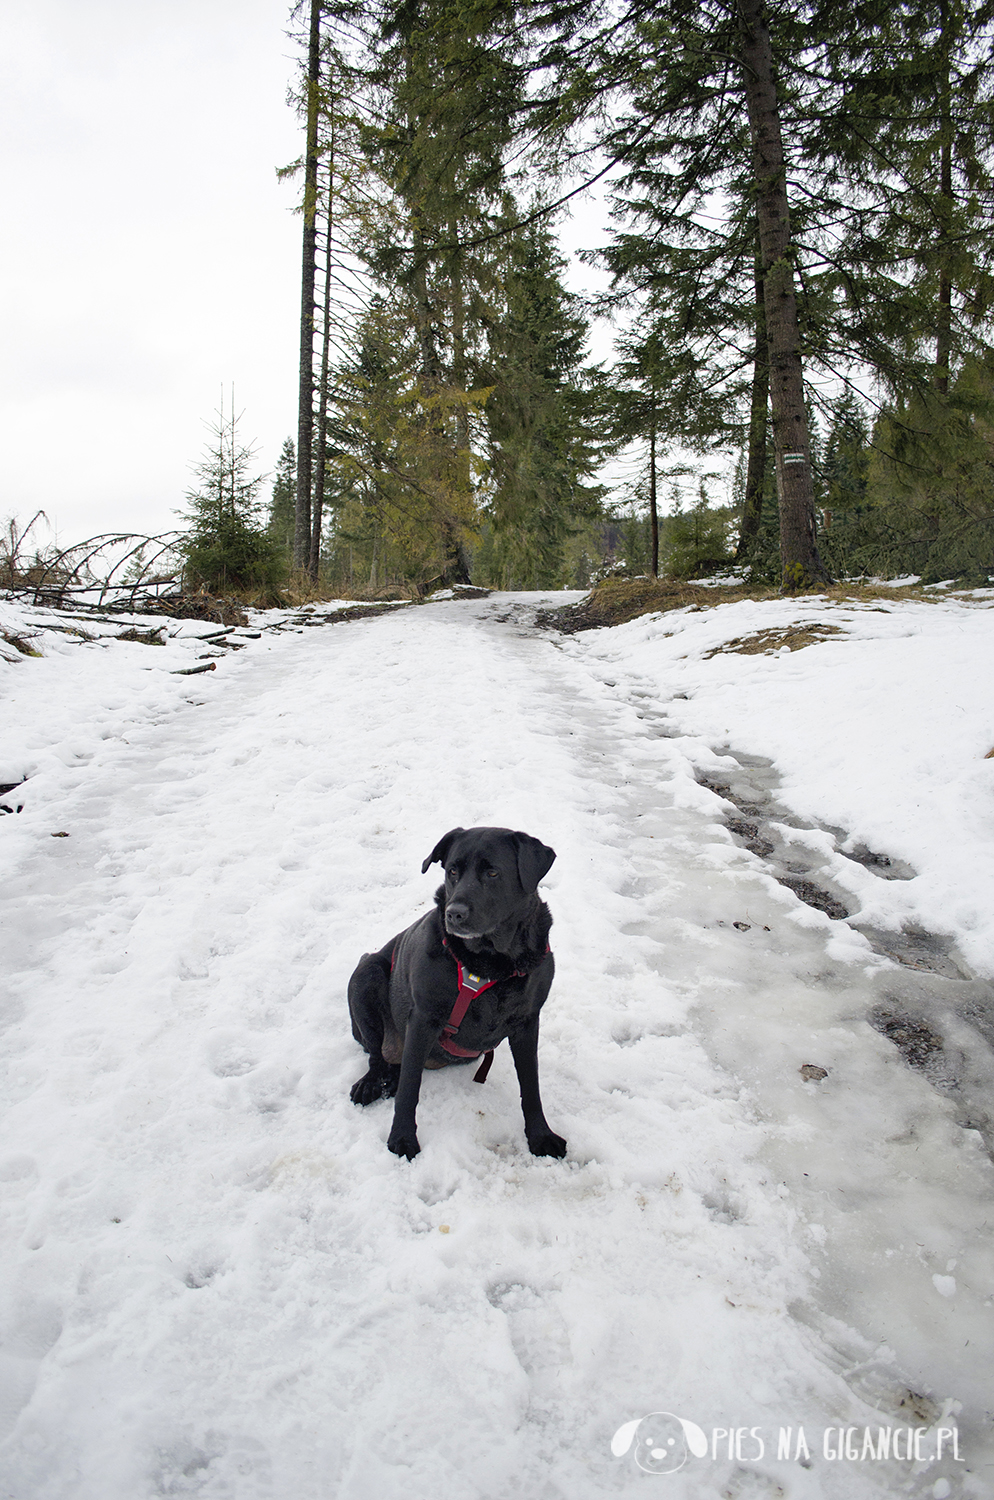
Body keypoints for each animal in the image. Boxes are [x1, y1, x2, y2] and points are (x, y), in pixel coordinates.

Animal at [349, 822, 566, 1158]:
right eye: (452, 870)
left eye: (492, 872)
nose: (454, 913)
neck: (490, 961)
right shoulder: (423, 1019)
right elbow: (410, 1088)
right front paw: (402, 1138)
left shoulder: (528, 1021)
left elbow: (531, 1085)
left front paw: (541, 1135)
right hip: (365, 973)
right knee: (378, 1056)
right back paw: (372, 1082)